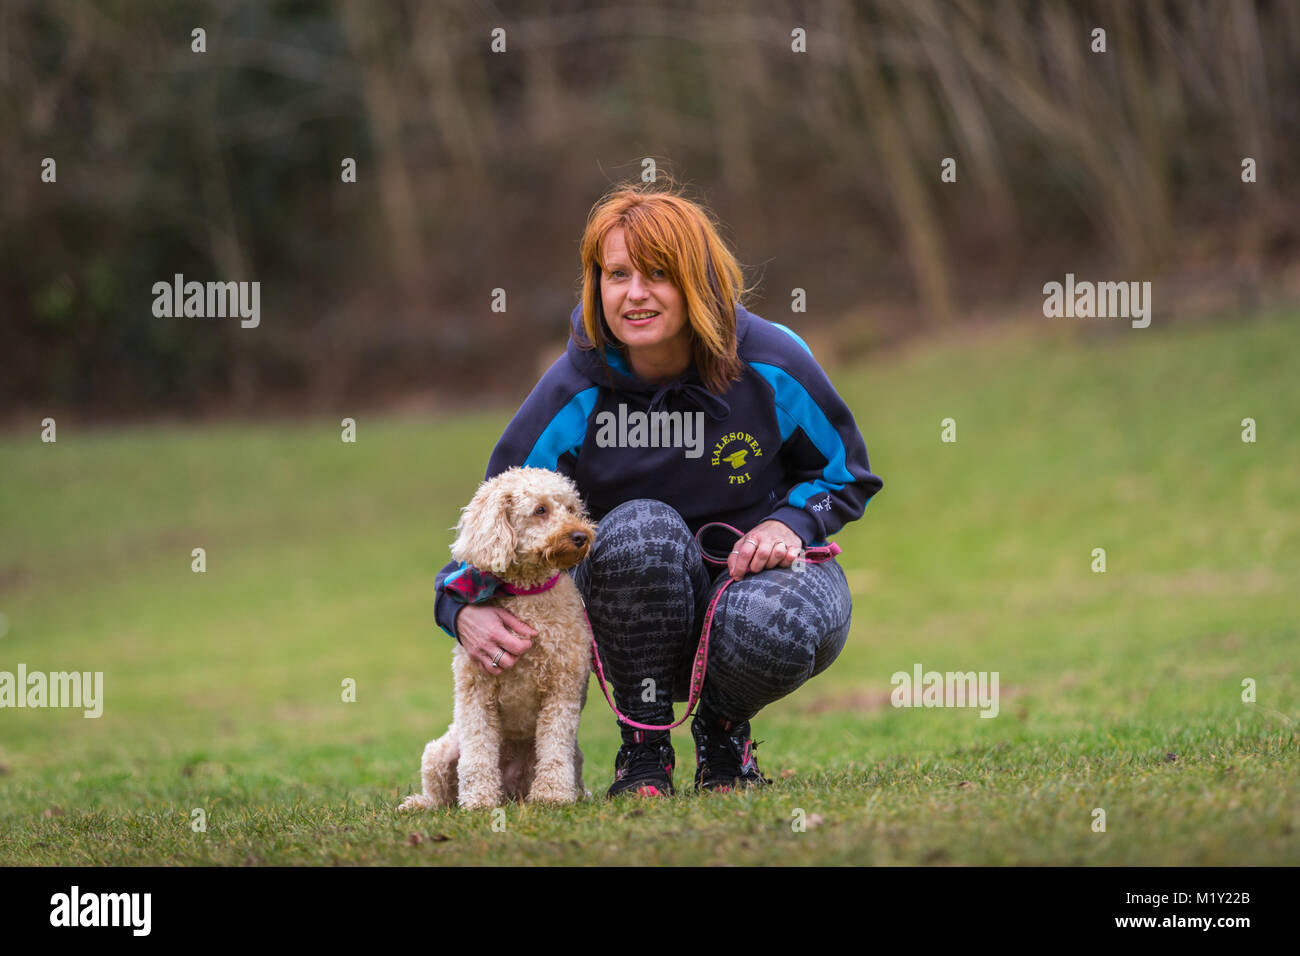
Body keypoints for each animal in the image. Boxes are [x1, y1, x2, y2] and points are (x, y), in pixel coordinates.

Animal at [397, 468, 595, 811]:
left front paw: (552, 795)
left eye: (571, 509)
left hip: (574, 757)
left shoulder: (563, 690)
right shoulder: (475, 691)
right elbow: (477, 753)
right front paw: (478, 801)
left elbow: (555, 747)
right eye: (540, 510)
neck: (528, 594)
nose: (580, 536)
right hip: (439, 752)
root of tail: (512, 791)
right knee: (441, 794)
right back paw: (421, 804)